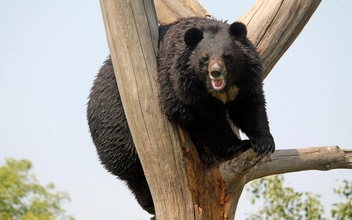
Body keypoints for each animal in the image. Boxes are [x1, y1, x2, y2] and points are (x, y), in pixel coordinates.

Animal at [87, 17, 276, 217]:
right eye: (205, 58)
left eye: (227, 56)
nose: (216, 72)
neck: (218, 89)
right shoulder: (180, 84)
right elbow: (206, 119)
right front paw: (238, 145)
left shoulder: (245, 81)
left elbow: (249, 106)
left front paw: (264, 143)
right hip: (119, 132)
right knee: (135, 174)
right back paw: (150, 204)